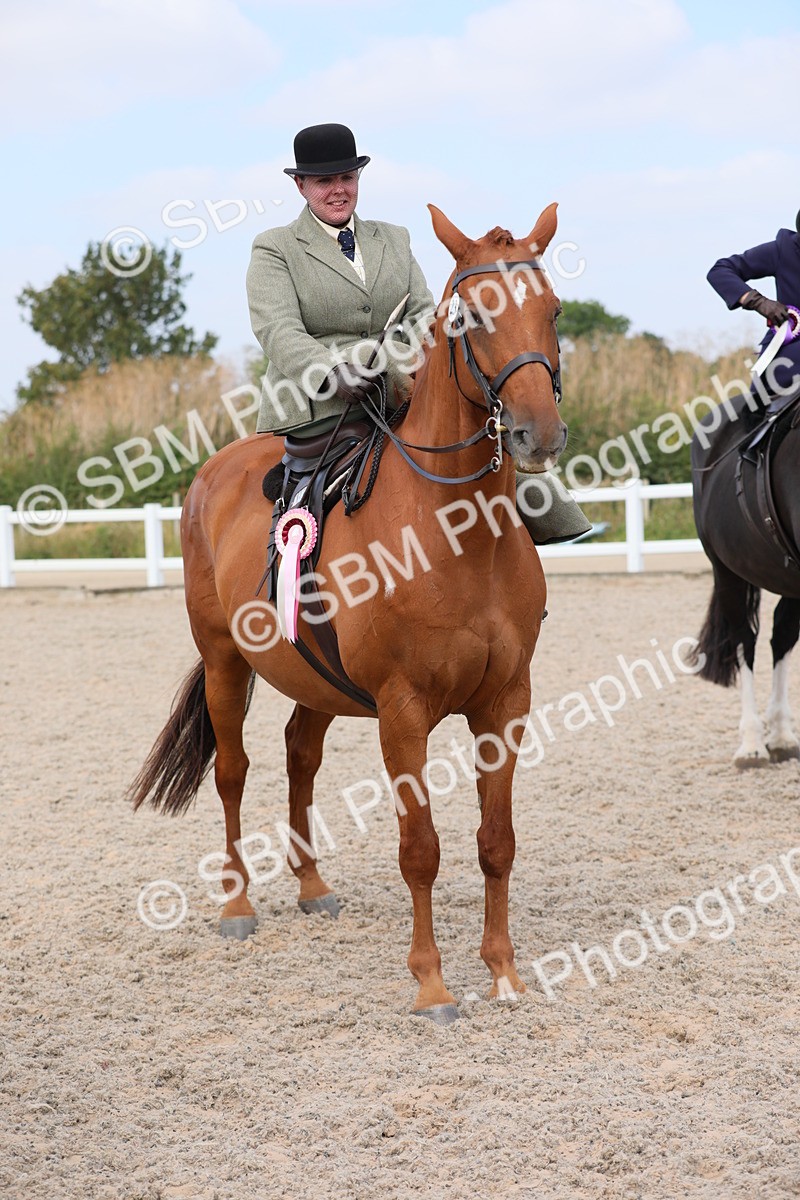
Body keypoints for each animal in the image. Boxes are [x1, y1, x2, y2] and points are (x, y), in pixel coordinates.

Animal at [130, 202, 568, 1023]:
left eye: (552, 309)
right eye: (471, 318)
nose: (539, 434)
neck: (457, 535)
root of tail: (213, 473)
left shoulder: (505, 701)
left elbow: (496, 840)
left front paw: (503, 972)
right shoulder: (403, 710)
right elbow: (420, 848)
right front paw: (432, 985)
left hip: (314, 676)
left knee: (300, 755)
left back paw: (311, 887)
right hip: (224, 662)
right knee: (234, 772)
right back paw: (238, 907)